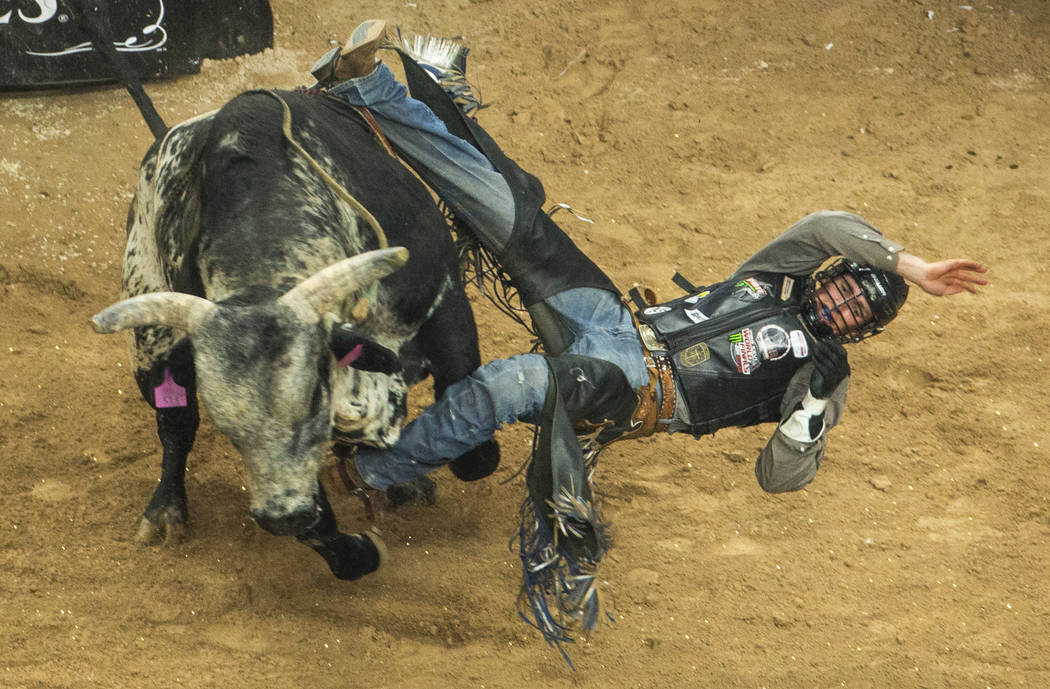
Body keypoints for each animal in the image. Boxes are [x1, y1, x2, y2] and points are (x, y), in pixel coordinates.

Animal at [92, 87, 497, 579]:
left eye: (312, 402)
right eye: (231, 428)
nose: (280, 517)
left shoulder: (446, 308)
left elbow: (474, 444)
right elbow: (324, 529)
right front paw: (358, 547)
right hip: (151, 335)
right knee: (176, 426)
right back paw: (165, 511)